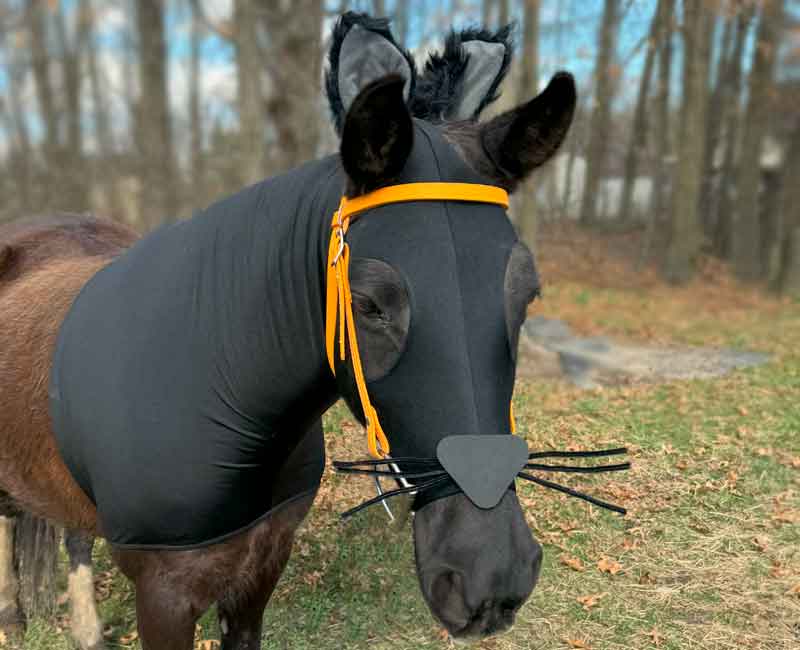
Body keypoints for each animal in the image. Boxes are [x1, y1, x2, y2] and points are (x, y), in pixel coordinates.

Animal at [0, 13, 576, 650]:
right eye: (368, 304)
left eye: (528, 294)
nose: (490, 574)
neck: (215, 386)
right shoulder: (163, 596)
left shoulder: (263, 563)